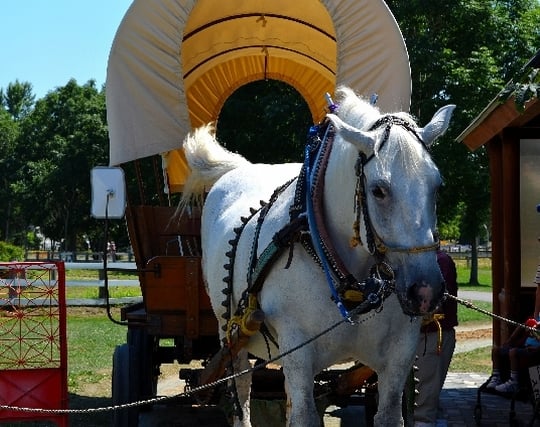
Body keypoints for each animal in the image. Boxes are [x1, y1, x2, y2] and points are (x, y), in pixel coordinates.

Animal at [181, 88, 456, 427]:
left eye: (437, 186)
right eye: (379, 190)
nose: (425, 290)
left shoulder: (400, 354)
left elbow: (388, 414)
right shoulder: (297, 352)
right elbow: (303, 415)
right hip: (230, 335)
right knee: (241, 392)